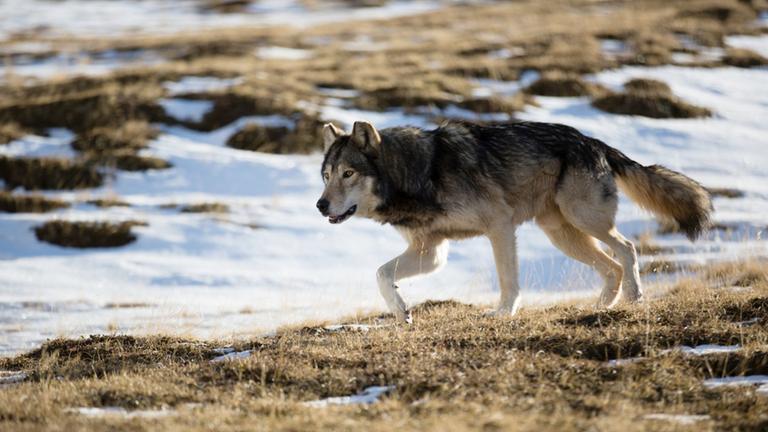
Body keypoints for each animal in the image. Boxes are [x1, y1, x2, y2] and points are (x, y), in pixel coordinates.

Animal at [317, 120, 711, 322]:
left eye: (349, 173)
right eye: (326, 175)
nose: (320, 205)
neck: (418, 174)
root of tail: (594, 141)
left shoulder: (499, 226)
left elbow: (508, 280)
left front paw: (503, 314)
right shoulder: (432, 252)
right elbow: (382, 274)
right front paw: (401, 311)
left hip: (584, 220)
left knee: (627, 249)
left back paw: (634, 297)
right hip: (562, 235)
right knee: (611, 266)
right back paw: (601, 307)